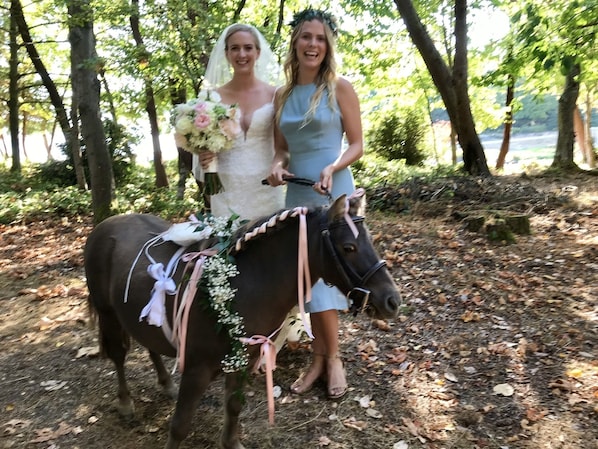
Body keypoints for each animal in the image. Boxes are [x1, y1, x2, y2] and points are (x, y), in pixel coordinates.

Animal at [83, 191, 404, 446]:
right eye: (349, 247)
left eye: (370, 241)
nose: (392, 300)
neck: (245, 285)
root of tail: (106, 224)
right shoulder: (197, 370)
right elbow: (180, 426)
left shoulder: (243, 361)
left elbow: (234, 408)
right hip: (108, 313)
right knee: (118, 355)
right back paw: (126, 404)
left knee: (150, 344)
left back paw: (165, 384)